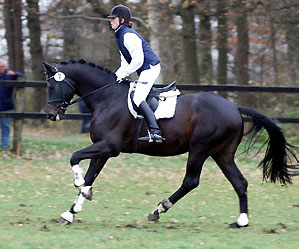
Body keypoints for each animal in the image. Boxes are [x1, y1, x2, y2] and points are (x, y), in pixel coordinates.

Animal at [43, 59, 298, 228]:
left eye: (52, 86)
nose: (50, 115)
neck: (106, 98)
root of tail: (234, 107)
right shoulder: (103, 149)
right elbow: (90, 176)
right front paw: (72, 211)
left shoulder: (109, 147)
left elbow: (75, 158)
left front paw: (79, 187)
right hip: (222, 154)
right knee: (239, 182)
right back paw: (241, 221)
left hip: (199, 150)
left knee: (191, 181)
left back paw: (159, 209)